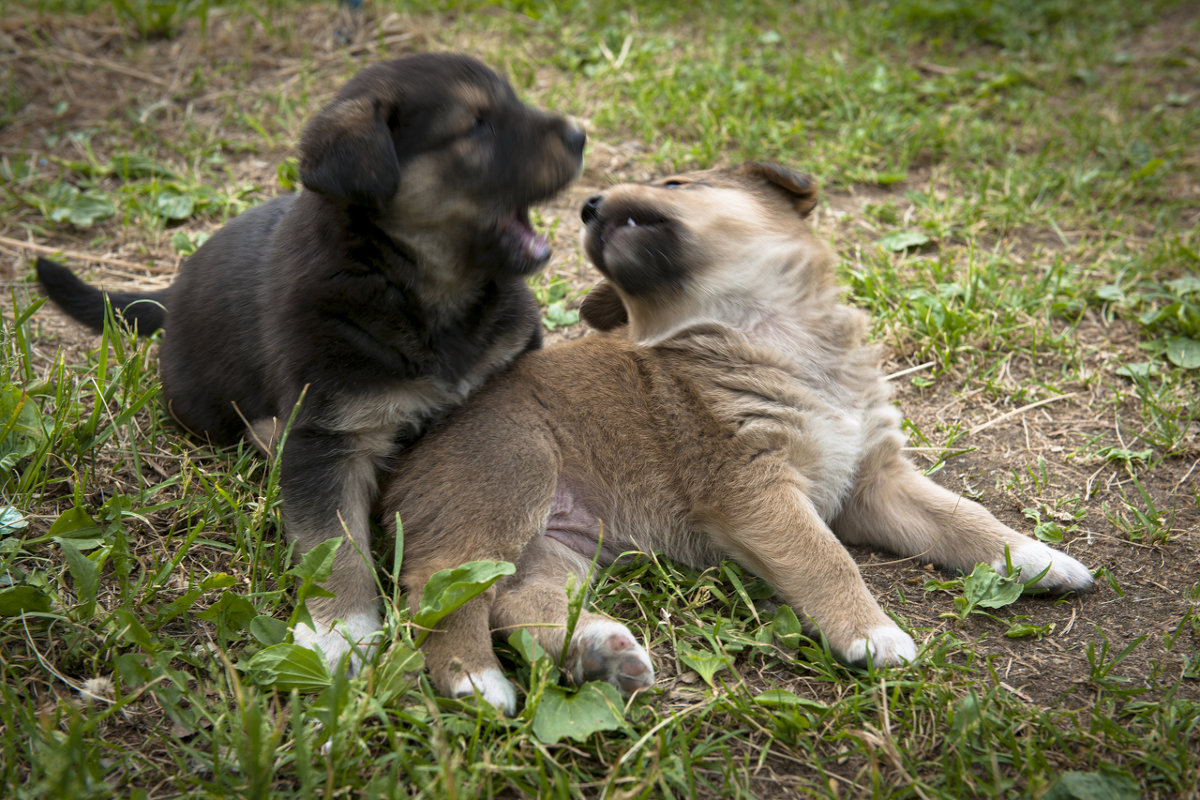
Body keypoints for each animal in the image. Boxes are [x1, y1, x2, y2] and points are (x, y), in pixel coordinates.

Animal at [41, 53, 590, 671]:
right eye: (476, 125)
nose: (581, 134)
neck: (421, 293)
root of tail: (172, 293)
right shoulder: (326, 436)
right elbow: (334, 542)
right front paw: (341, 632)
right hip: (200, 406)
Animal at [384, 163, 1099, 714]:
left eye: (676, 183)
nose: (585, 204)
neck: (777, 338)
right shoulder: (753, 484)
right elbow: (825, 558)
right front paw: (871, 634)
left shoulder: (873, 481)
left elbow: (962, 515)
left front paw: (1033, 558)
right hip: (512, 474)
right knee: (439, 586)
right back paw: (474, 680)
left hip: (559, 543)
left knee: (515, 597)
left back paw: (599, 654)